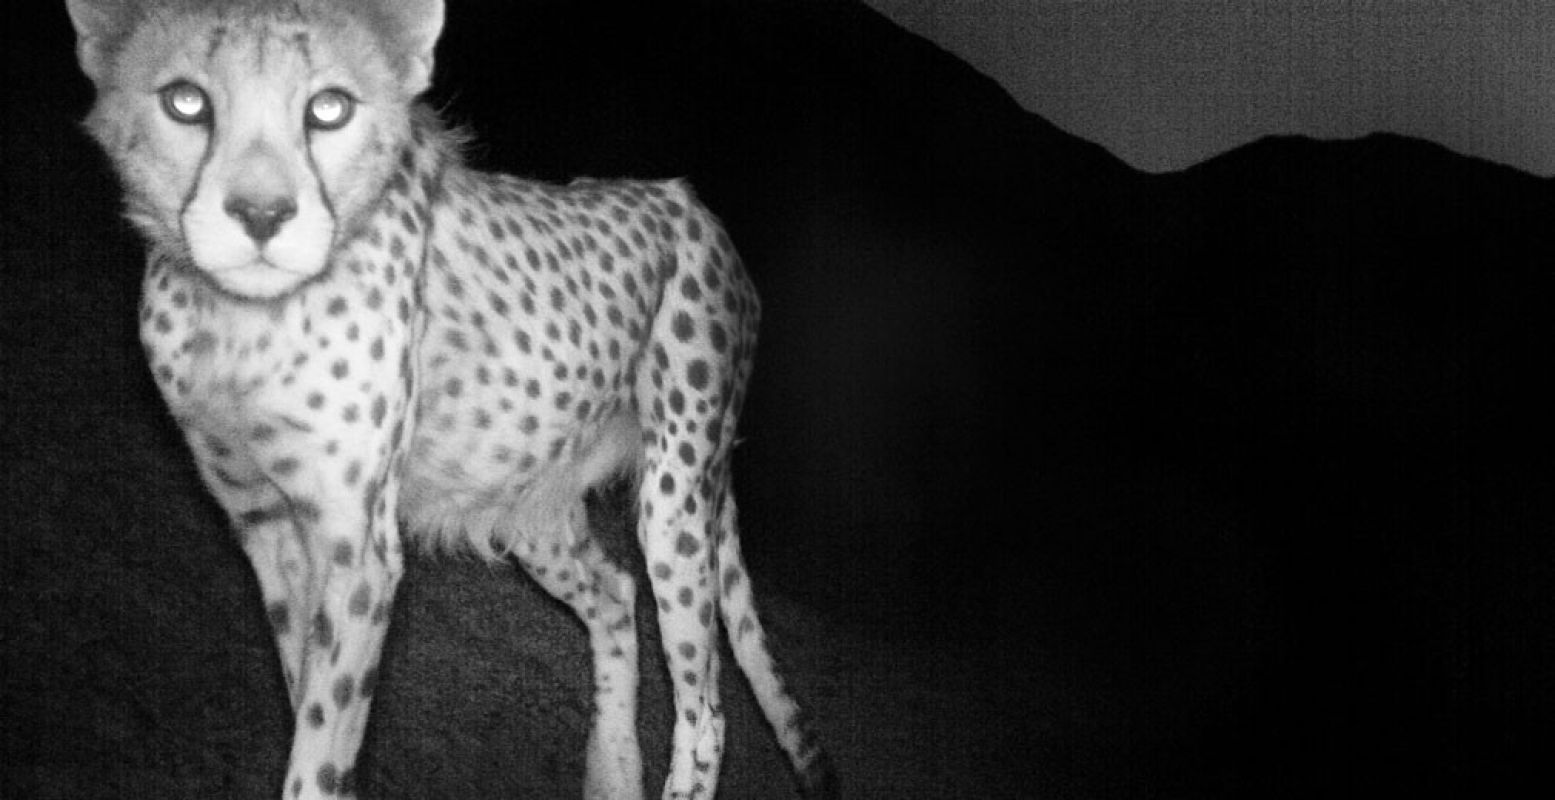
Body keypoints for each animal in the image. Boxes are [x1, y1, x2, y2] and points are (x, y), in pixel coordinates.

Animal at [63, 1, 839, 796]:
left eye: (329, 108)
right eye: (186, 102)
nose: (261, 214)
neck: (241, 319)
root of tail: (684, 197)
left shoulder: (358, 551)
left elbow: (319, 743)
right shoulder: (267, 529)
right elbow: (309, 700)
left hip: (673, 498)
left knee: (706, 711)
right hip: (523, 497)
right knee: (615, 594)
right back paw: (614, 768)